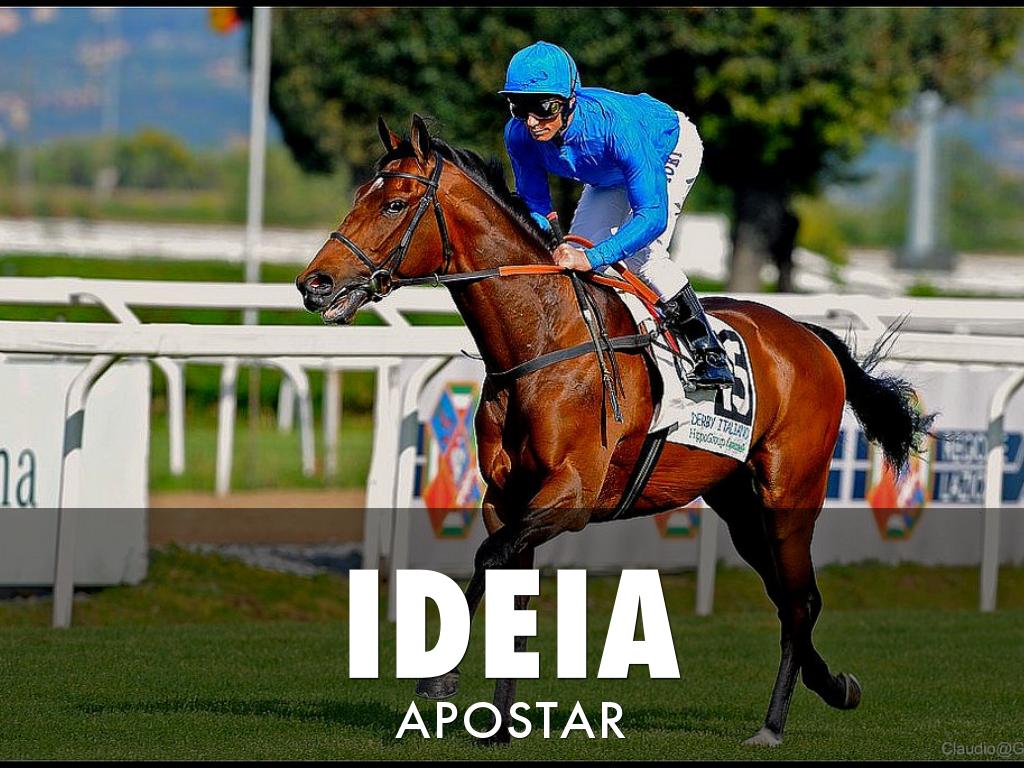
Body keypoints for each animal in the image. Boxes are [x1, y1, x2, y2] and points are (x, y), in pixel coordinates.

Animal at [296, 114, 933, 747]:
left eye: (395, 204)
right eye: (360, 195)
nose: (314, 284)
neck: (542, 340)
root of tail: (810, 336)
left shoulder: (571, 496)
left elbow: (486, 558)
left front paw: (439, 680)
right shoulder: (506, 500)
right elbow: (509, 593)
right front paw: (500, 724)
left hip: (789, 493)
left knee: (800, 600)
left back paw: (772, 726)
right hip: (736, 502)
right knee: (789, 596)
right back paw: (836, 687)